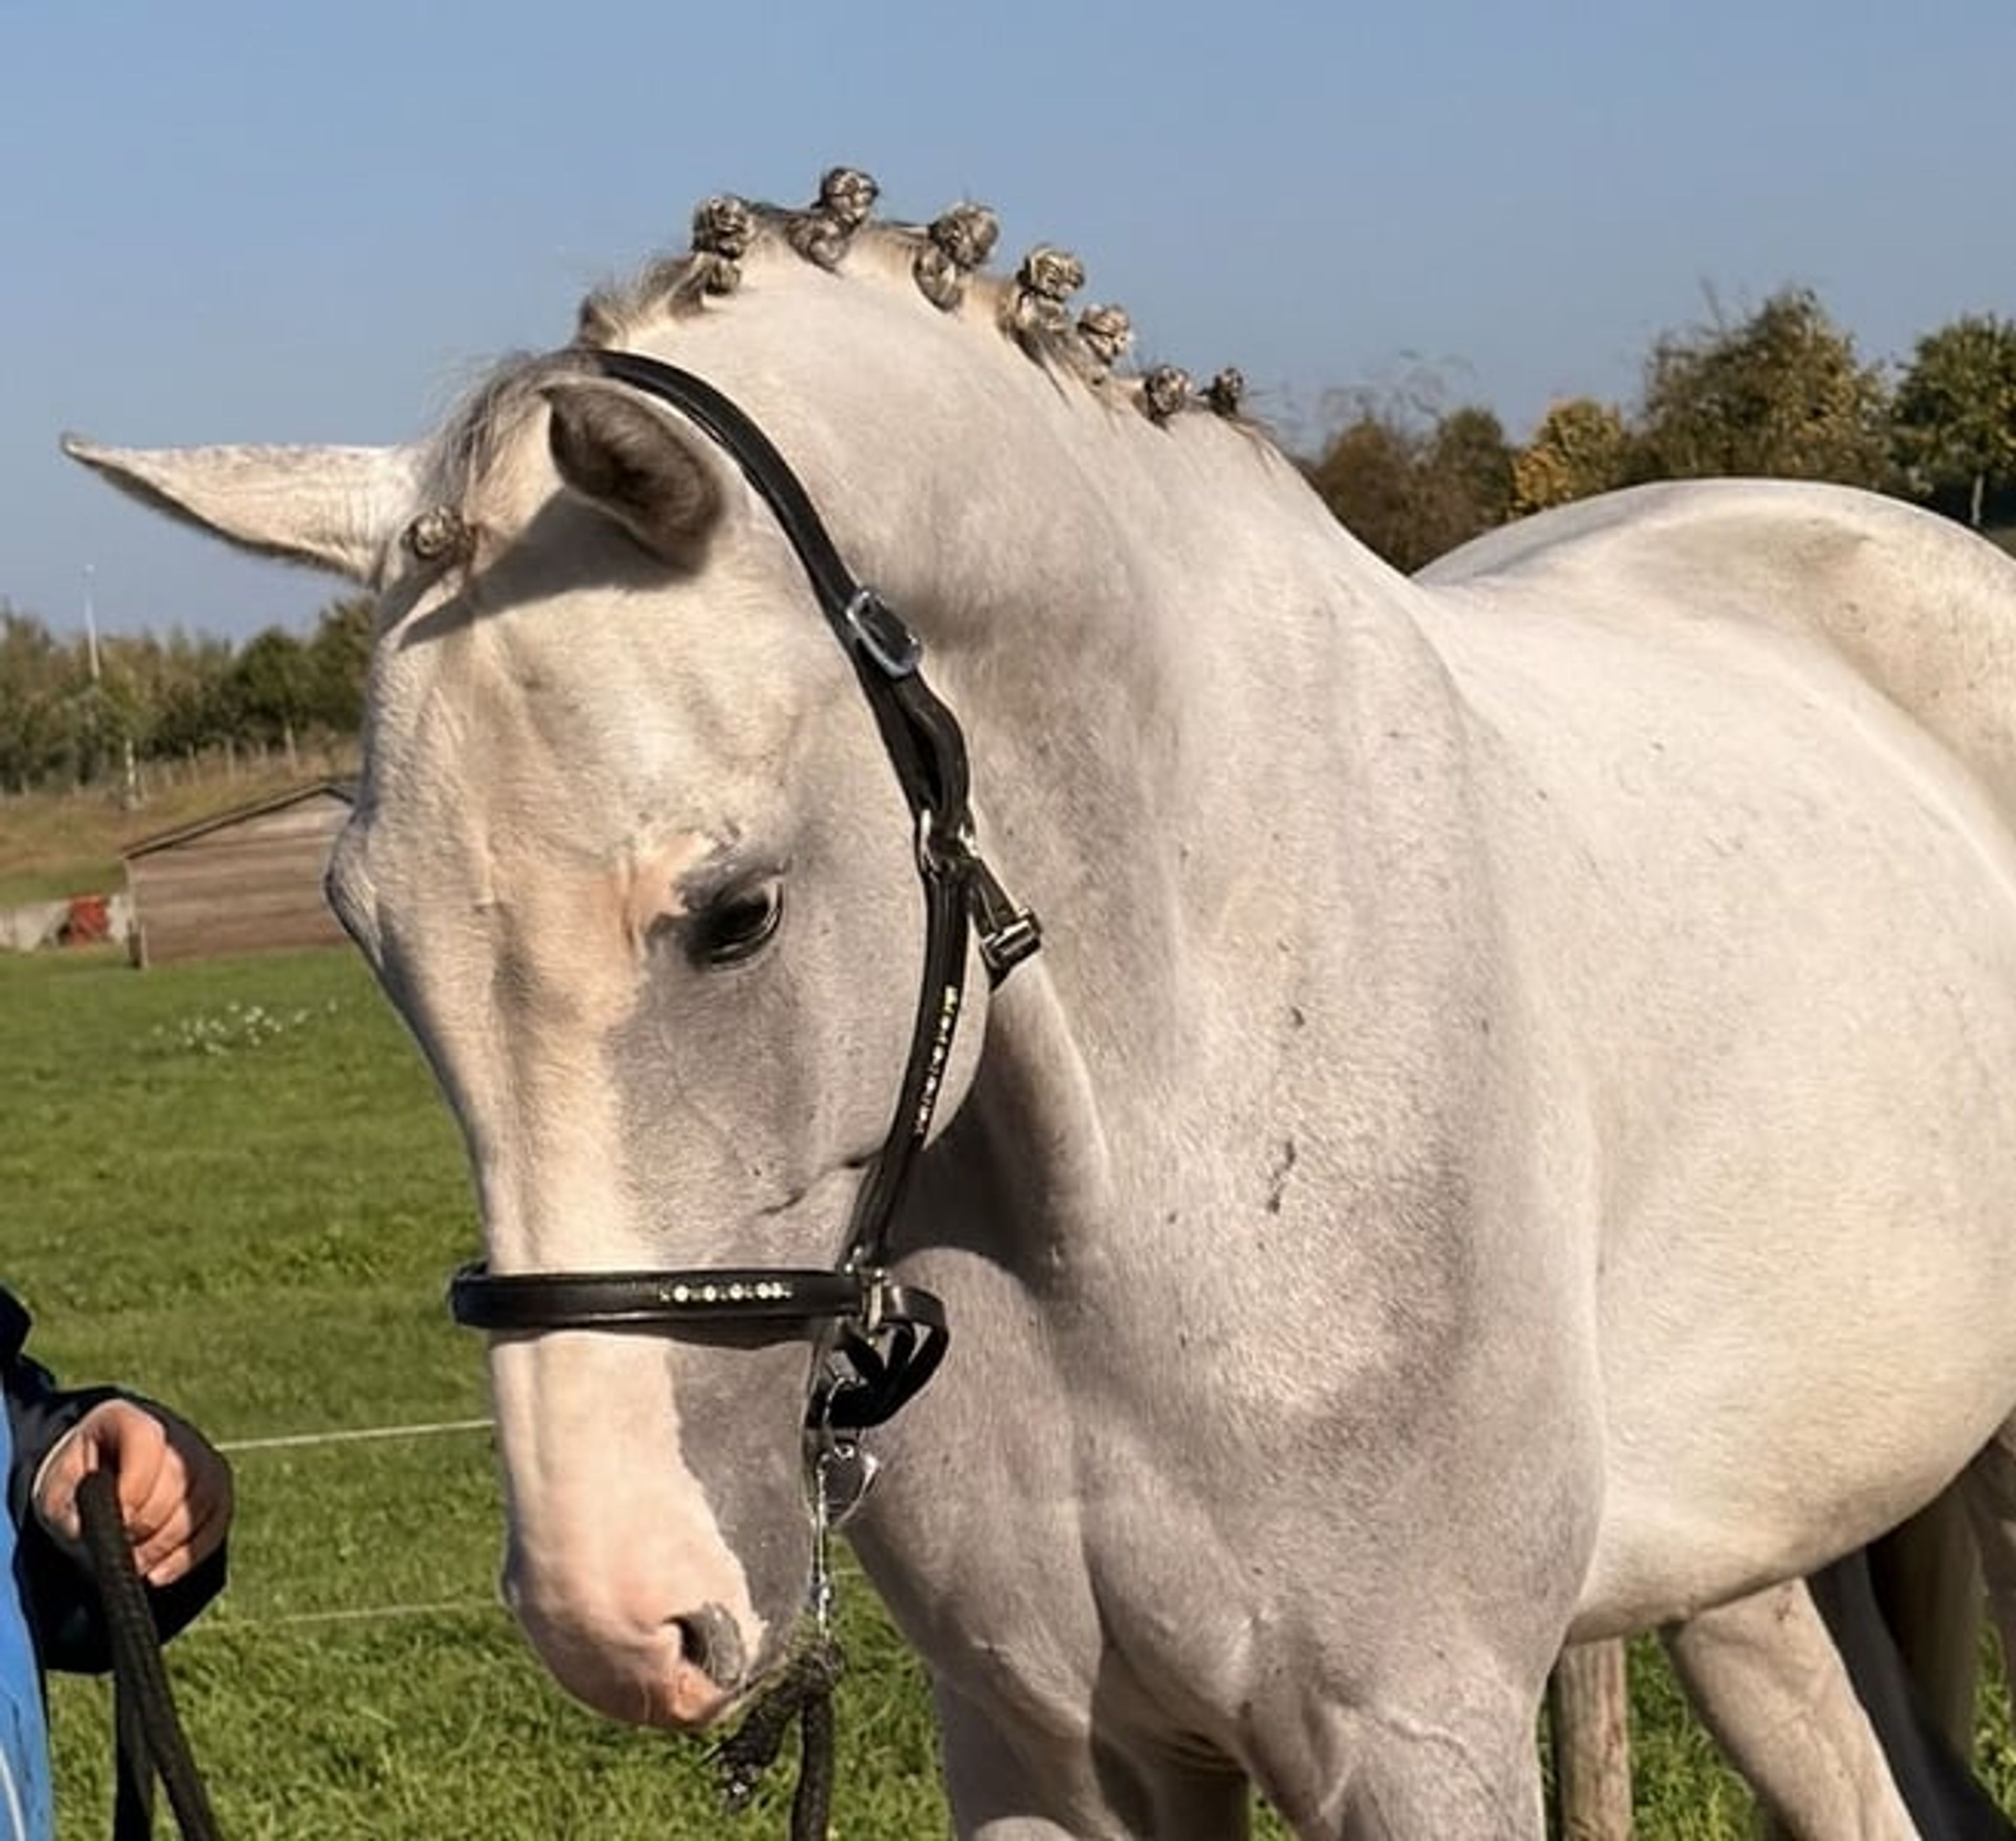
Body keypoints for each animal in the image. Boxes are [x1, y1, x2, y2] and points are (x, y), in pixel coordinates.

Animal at [65, 169, 2016, 1838]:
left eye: (735, 913)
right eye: (366, 934)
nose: (617, 1608)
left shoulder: (1420, 1736)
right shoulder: (1045, 1744)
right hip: (1769, 1576)